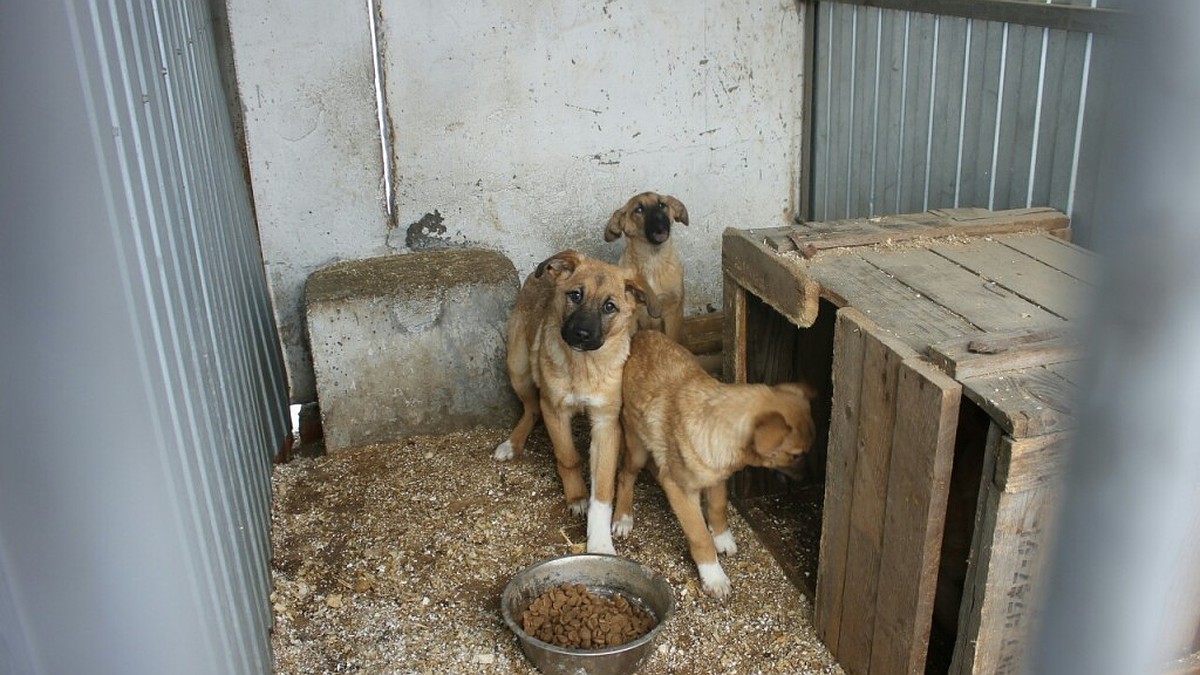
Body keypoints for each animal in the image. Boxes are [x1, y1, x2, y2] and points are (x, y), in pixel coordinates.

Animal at [492, 247, 662, 552]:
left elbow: (604, 489)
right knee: (531, 409)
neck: (585, 366)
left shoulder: (606, 424)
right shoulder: (555, 411)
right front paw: (578, 498)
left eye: (610, 307)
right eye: (575, 295)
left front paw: (601, 544)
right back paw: (512, 443)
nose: (581, 334)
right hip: (518, 366)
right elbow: (568, 457)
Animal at [604, 190, 691, 341]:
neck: (653, 260)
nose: (661, 219)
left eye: (662, 205)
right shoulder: (631, 317)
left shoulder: (672, 311)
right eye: (639, 209)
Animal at [609, 329, 816, 595]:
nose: (809, 480)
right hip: (636, 447)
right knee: (626, 475)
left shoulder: (717, 475)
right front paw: (713, 575)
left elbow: (718, 508)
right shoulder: (681, 491)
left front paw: (722, 538)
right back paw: (623, 518)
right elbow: (700, 537)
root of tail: (642, 333)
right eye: (795, 454)